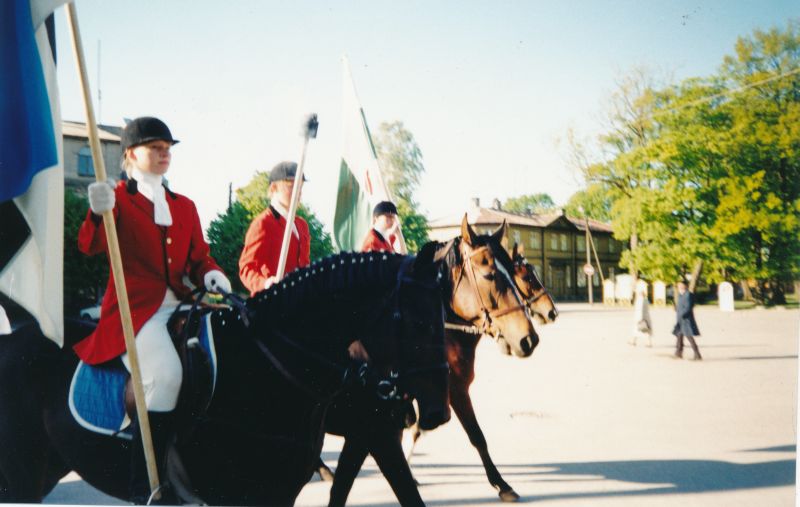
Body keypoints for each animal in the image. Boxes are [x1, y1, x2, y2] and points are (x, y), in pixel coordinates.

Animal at [320, 219, 544, 507]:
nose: (529, 339)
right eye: (489, 275)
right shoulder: (455, 391)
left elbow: (415, 431)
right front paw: (501, 484)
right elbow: (476, 435)